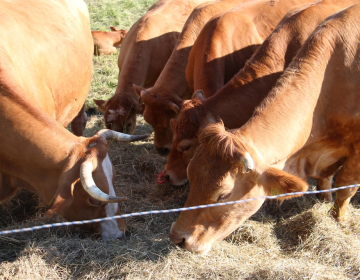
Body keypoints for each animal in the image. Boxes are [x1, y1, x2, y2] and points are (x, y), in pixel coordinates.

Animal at [170, 3, 360, 254]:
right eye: (192, 177)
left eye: (224, 194)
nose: (177, 236)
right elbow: (327, 178)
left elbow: (345, 187)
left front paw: (339, 220)